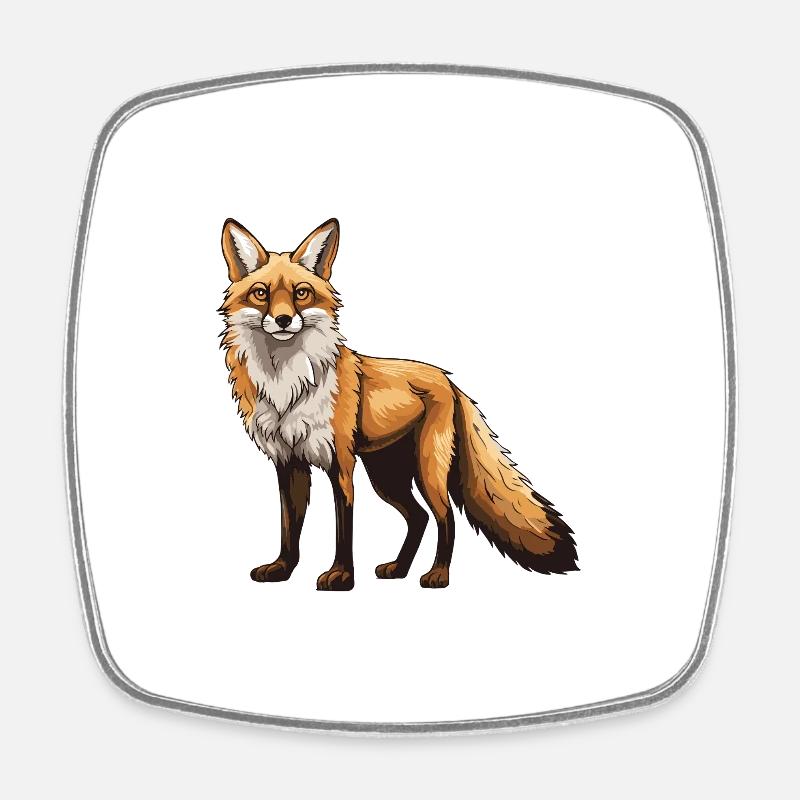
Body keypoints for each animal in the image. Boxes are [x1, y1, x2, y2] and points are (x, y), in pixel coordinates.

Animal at [219, 218, 577, 590]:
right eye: (261, 293)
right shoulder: (288, 462)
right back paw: (399, 568)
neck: (287, 385)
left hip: (426, 470)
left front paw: (342, 575)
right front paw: (283, 568)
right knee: (419, 517)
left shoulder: (340, 462)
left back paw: (438, 575)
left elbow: (344, 527)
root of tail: (448, 379)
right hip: (387, 476)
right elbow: (289, 526)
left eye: (301, 293)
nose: (284, 320)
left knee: (445, 516)